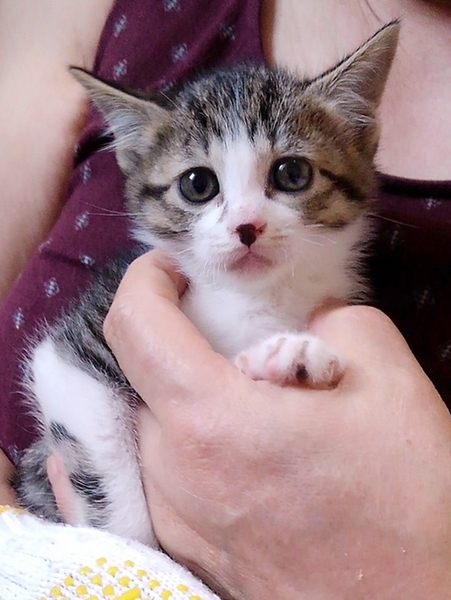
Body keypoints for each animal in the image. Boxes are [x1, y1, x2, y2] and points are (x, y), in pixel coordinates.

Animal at [14, 22, 399, 547]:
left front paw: (291, 360)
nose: (247, 226)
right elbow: (116, 494)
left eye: (293, 173)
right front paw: (129, 543)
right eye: (198, 184)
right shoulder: (73, 349)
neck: (249, 298)